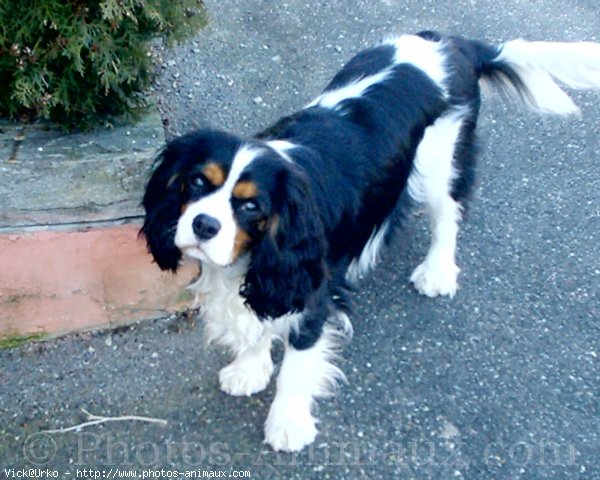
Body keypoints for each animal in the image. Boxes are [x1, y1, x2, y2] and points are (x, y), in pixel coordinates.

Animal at [143, 31, 600, 452]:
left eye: (251, 205)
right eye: (197, 182)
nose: (203, 224)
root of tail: (455, 43)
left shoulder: (310, 287)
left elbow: (296, 362)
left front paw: (288, 424)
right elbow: (256, 322)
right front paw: (249, 369)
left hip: (440, 160)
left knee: (448, 217)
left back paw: (437, 272)